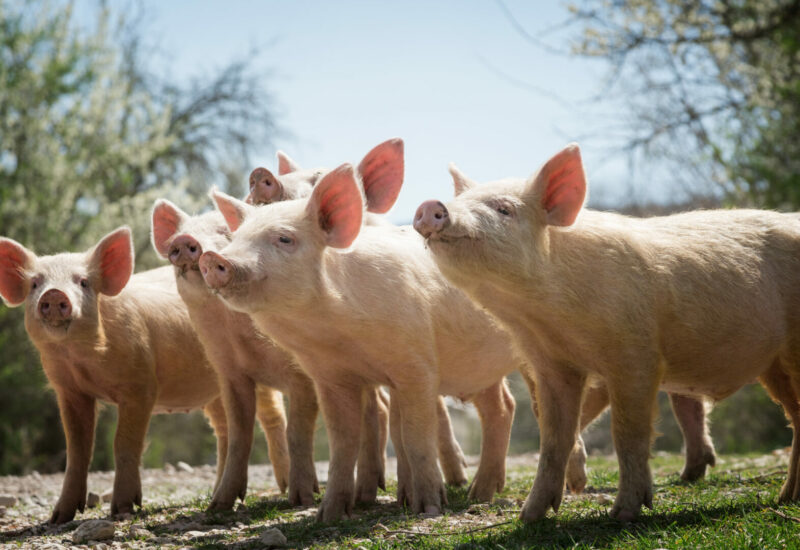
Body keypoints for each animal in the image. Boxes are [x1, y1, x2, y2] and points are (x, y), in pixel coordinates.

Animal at [0, 231, 290, 524]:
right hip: (215, 388)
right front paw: (58, 518)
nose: (54, 293)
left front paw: (122, 510)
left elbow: (124, 443)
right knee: (224, 430)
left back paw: (284, 487)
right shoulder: (69, 391)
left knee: (273, 417)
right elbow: (77, 451)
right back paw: (216, 496)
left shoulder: (141, 385)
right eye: (35, 284)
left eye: (82, 282)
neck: (82, 360)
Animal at [151, 205, 396, 512]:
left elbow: (297, 431)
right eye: (180, 234)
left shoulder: (303, 374)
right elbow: (239, 435)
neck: (240, 338)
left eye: (225, 231)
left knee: (377, 409)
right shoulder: (230, 373)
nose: (184, 241)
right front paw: (217, 506)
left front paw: (302, 499)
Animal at [198, 166, 536, 524]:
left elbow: (415, 436)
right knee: (502, 407)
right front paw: (328, 516)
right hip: (479, 365)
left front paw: (429, 508)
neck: (340, 336)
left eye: (285, 239)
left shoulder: (416, 365)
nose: (213, 259)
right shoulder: (331, 377)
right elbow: (343, 442)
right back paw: (480, 494)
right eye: (235, 238)